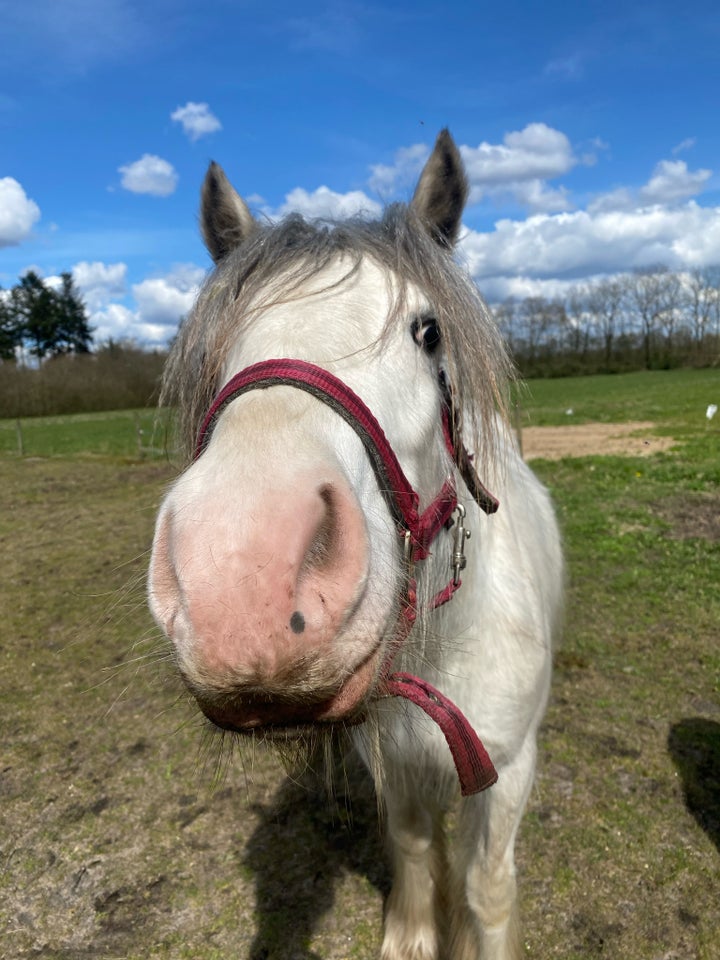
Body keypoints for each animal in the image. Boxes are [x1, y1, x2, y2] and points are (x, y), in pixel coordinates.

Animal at [146, 129, 564, 960]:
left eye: (428, 331)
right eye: (216, 347)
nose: (242, 576)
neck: (440, 651)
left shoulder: (507, 770)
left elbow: (487, 887)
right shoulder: (391, 763)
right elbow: (410, 844)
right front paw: (412, 935)